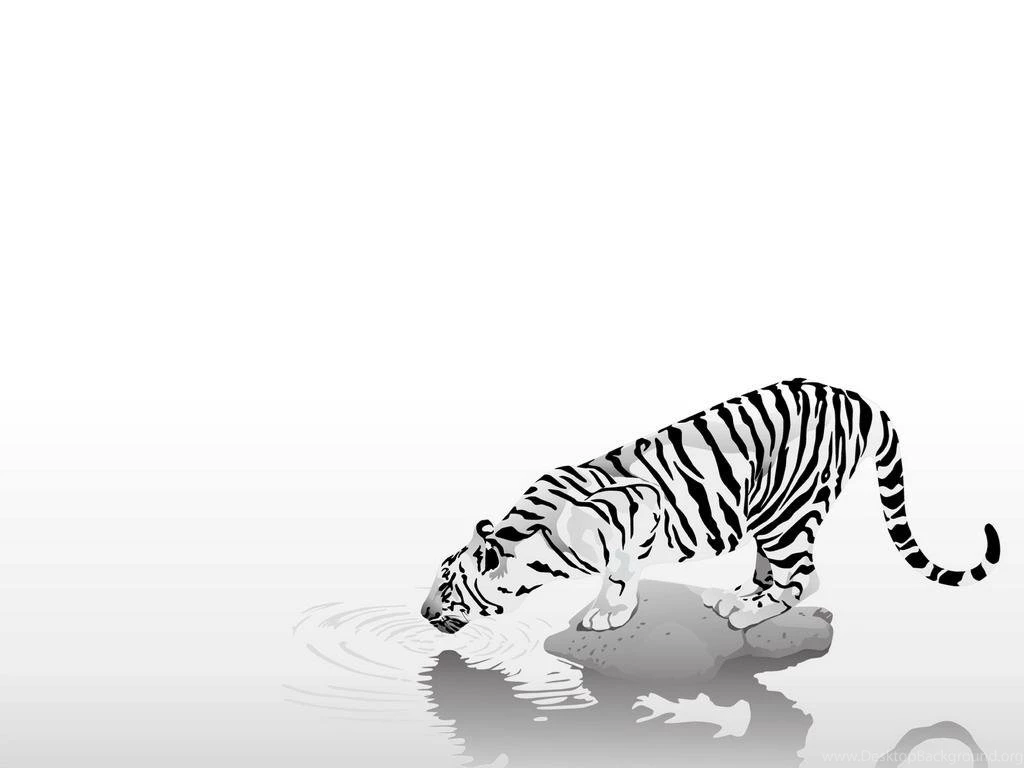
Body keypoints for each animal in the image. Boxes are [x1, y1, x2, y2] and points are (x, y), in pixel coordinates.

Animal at [420, 379, 1001, 634]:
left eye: (447, 586)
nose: (423, 613)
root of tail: (854, 396)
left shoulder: (640, 507)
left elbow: (621, 572)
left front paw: (610, 612)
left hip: (787, 512)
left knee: (804, 578)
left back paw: (749, 612)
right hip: (770, 511)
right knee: (777, 568)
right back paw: (738, 593)